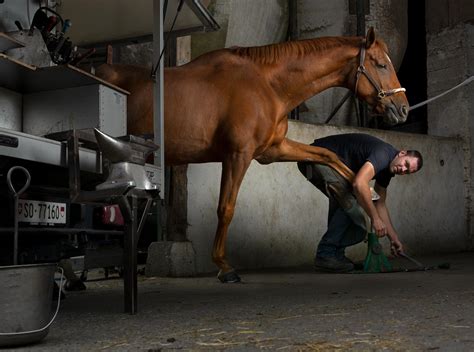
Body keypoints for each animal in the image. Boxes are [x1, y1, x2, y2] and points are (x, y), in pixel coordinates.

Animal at [96, 27, 408, 282]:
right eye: (381, 64)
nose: (402, 109)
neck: (267, 84)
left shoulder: (273, 149)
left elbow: (327, 154)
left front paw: (363, 193)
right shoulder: (238, 155)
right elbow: (226, 208)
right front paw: (224, 266)